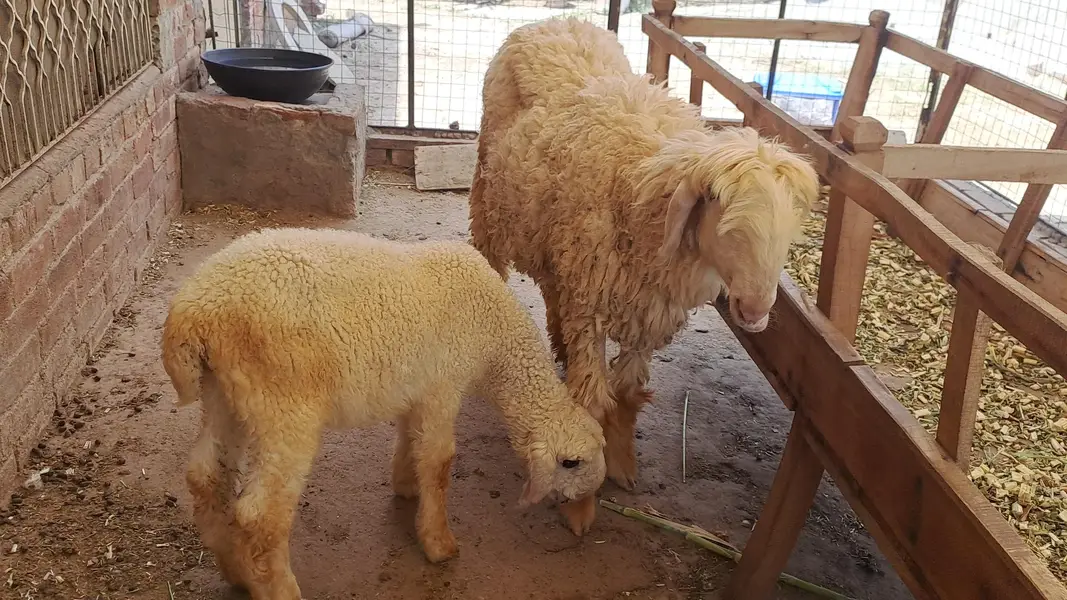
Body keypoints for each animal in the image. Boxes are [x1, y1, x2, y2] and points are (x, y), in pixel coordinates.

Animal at [161, 227, 607, 600]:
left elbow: (412, 441)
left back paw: (235, 573)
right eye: (573, 463)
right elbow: (440, 463)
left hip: (224, 394)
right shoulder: (444, 386)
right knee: (260, 514)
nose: (585, 525)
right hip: (282, 406)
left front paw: (406, 486)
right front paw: (438, 543)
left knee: (205, 477)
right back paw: (279, 590)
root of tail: (193, 312)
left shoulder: (416, 390)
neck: (496, 342)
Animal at [469, 18, 820, 494]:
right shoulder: (592, 305)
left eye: (789, 234)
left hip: (552, 238)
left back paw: (558, 342)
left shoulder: (649, 312)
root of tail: (557, 21)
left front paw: (622, 464)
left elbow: (629, 394)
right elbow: (594, 399)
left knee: (552, 287)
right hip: (490, 201)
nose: (755, 310)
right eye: (728, 225)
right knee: (493, 262)